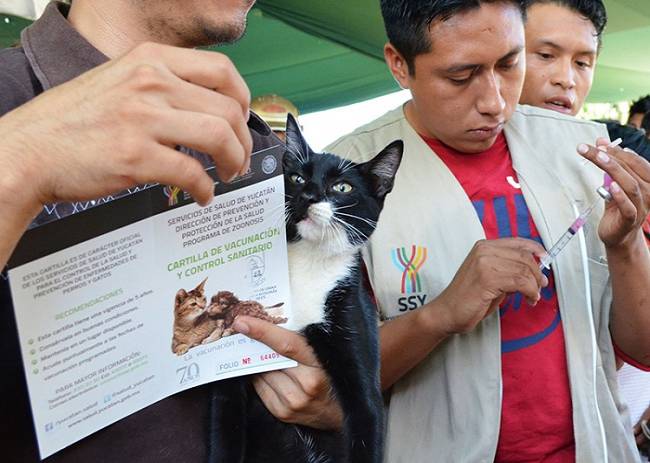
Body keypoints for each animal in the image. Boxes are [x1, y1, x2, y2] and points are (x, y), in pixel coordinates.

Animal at [209, 115, 400, 463]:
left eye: (342, 187)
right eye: (297, 177)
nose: (308, 195)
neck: (307, 263)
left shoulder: (353, 319)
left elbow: (366, 413)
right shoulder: (230, 374)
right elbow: (225, 427)